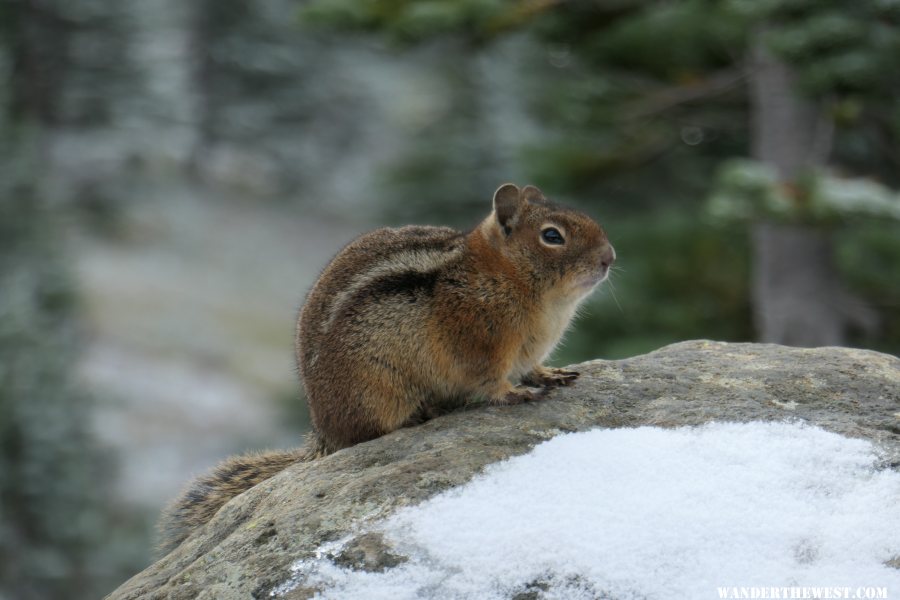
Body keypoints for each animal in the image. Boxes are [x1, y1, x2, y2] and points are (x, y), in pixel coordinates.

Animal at [160, 184, 612, 552]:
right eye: (552, 236)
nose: (609, 258)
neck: (507, 275)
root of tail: (324, 434)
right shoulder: (480, 345)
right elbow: (492, 382)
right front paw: (517, 393)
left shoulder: (528, 351)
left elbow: (533, 367)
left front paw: (551, 375)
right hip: (378, 390)